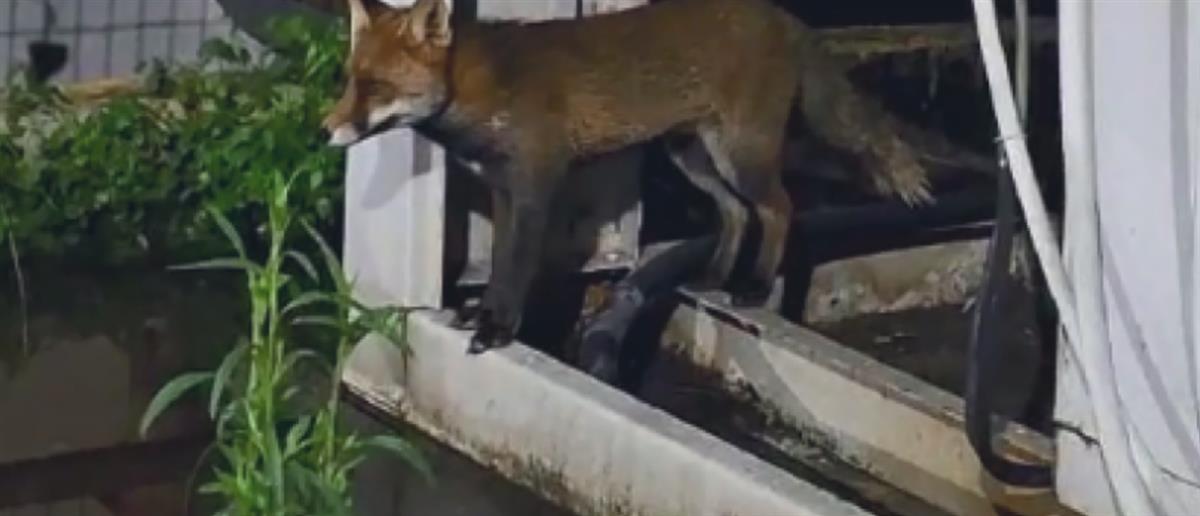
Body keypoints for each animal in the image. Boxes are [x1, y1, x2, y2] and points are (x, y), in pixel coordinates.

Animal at [322, 0, 996, 354]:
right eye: (350, 80)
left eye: (376, 88)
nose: (327, 129)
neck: (483, 93)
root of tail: (783, 17)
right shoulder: (503, 189)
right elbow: (498, 273)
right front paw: (481, 317)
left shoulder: (537, 187)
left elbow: (515, 269)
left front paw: (498, 330)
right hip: (693, 158)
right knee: (735, 212)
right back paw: (716, 274)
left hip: (742, 155)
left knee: (780, 208)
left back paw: (754, 285)